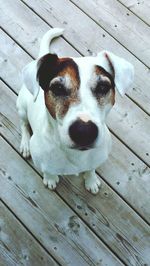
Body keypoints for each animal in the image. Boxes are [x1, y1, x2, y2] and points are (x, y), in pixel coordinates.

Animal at [17, 28, 134, 193]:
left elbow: (91, 169)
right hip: (21, 107)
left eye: (103, 87)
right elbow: (48, 170)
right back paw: (25, 144)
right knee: (24, 124)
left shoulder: (96, 159)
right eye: (58, 88)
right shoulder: (43, 161)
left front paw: (91, 180)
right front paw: (50, 178)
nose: (84, 131)